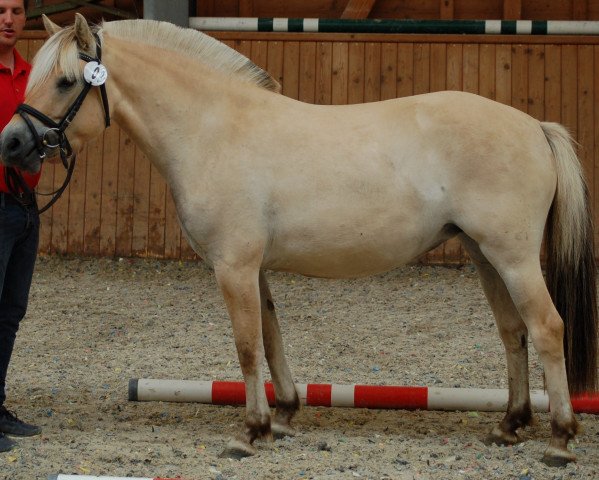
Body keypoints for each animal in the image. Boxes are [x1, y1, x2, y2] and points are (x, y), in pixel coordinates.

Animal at [1, 14, 599, 464]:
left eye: (65, 81)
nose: (11, 144)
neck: (213, 129)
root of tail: (534, 127)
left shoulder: (234, 267)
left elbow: (246, 345)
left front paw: (250, 432)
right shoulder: (253, 268)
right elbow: (270, 336)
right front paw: (284, 415)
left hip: (513, 258)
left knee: (547, 329)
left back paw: (560, 439)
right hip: (485, 255)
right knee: (512, 333)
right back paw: (509, 424)